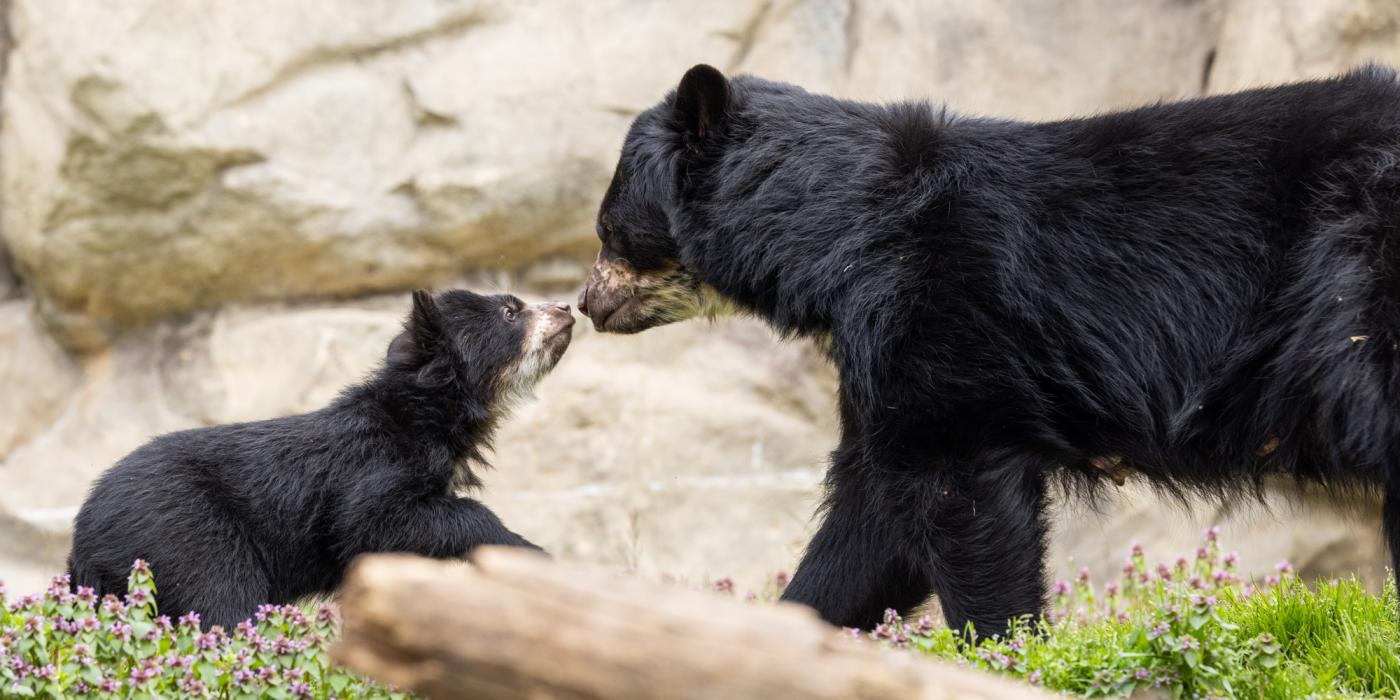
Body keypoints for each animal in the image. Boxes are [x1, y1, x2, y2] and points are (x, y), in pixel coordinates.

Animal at [68, 289, 571, 630]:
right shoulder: (374, 468)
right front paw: (530, 552)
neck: (427, 417)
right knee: (219, 604)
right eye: (511, 312)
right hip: (186, 534)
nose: (567, 308)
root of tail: (84, 535)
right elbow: (374, 520)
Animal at [574, 63, 1400, 638]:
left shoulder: (941, 312)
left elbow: (958, 491)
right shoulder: (877, 350)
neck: (838, 235)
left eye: (610, 231)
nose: (585, 304)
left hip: (1354, 284)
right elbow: (869, 524)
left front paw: (1008, 654)